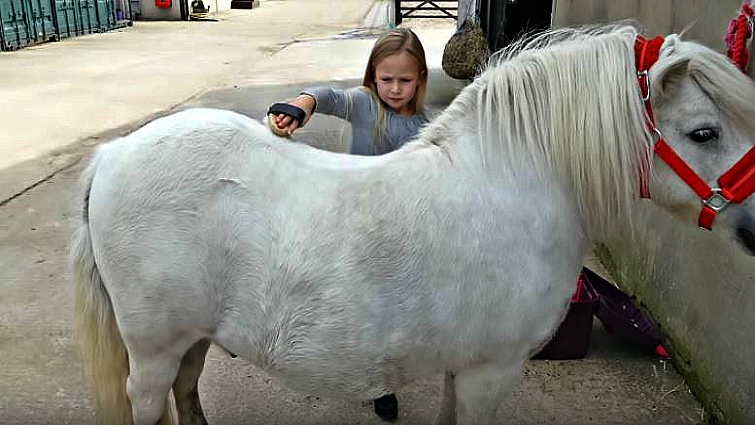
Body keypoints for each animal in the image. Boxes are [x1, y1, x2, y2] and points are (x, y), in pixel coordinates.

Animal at [70, 23, 755, 425]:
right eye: (703, 133)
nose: (752, 228)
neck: (510, 183)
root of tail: (113, 154)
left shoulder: (464, 370)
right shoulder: (489, 373)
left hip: (193, 338)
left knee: (186, 394)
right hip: (154, 350)